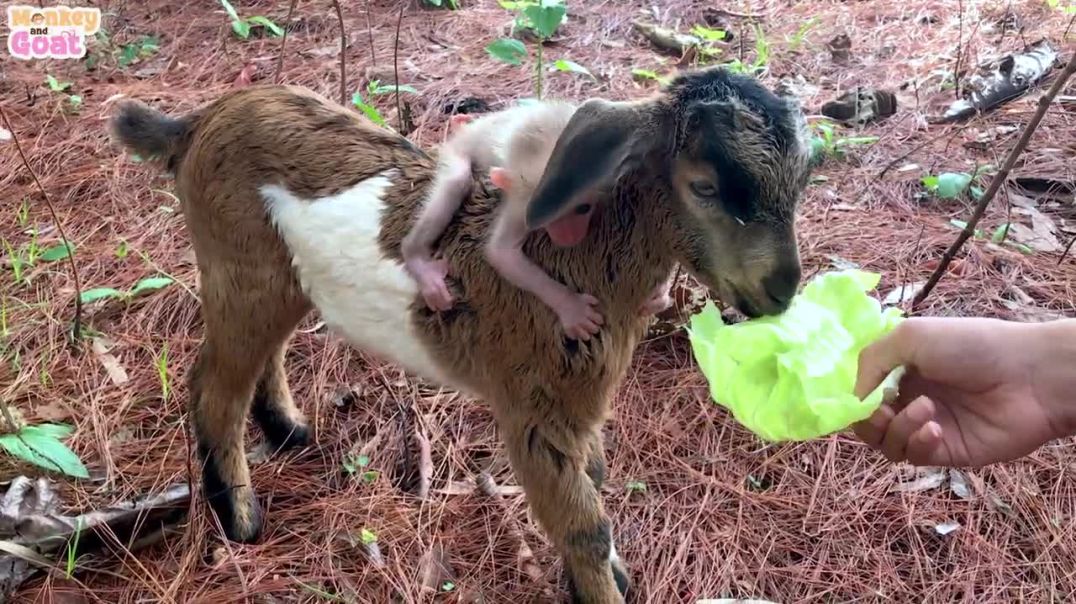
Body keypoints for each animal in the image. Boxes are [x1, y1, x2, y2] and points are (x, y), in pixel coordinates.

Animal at [108, 65, 813, 603]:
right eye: (705, 186)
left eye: (800, 182)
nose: (782, 290)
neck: (580, 257)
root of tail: (197, 123)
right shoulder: (534, 411)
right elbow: (583, 522)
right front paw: (601, 586)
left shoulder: (582, 402)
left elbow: (597, 478)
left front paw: (609, 574)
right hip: (236, 266)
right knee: (213, 385)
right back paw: (240, 517)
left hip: (281, 278)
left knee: (265, 352)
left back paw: (288, 429)